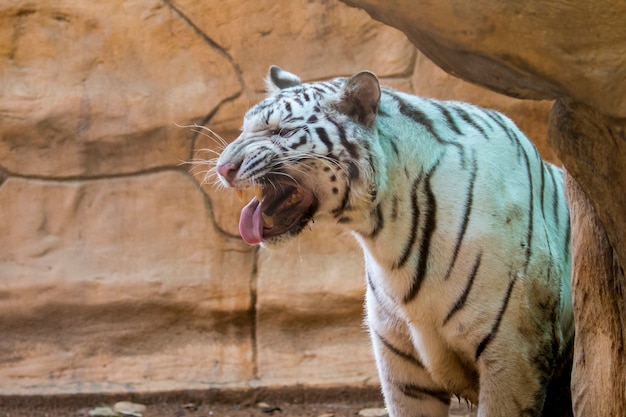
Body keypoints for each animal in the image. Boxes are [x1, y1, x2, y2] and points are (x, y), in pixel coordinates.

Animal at [213, 66, 572, 416]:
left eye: (279, 131)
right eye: (243, 129)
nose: (222, 168)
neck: (387, 233)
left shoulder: (513, 354)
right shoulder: (402, 367)